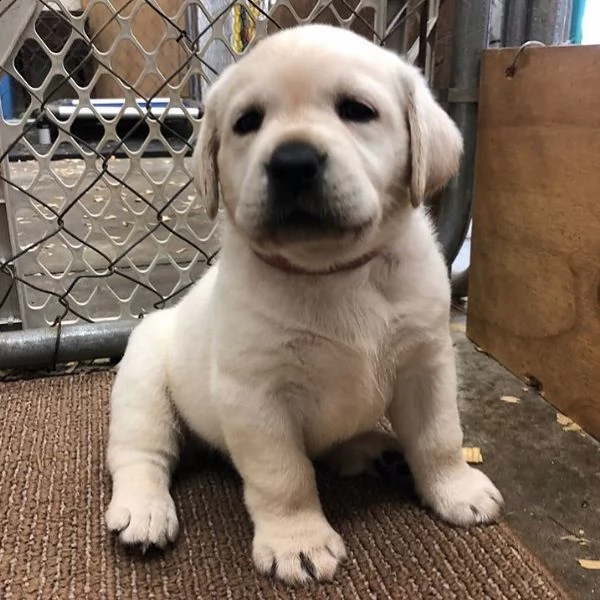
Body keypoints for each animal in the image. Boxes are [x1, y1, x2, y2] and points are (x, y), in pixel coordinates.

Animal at [106, 24, 502, 584]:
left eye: (357, 110)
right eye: (247, 122)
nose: (293, 162)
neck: (334, 273)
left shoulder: (427, 364)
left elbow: (439, 436)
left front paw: (456, 489)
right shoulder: (255, 395)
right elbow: (285, 476)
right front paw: (299, 542)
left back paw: (375, 451)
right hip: (142, 384)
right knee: (141, 453)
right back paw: (143, 511)